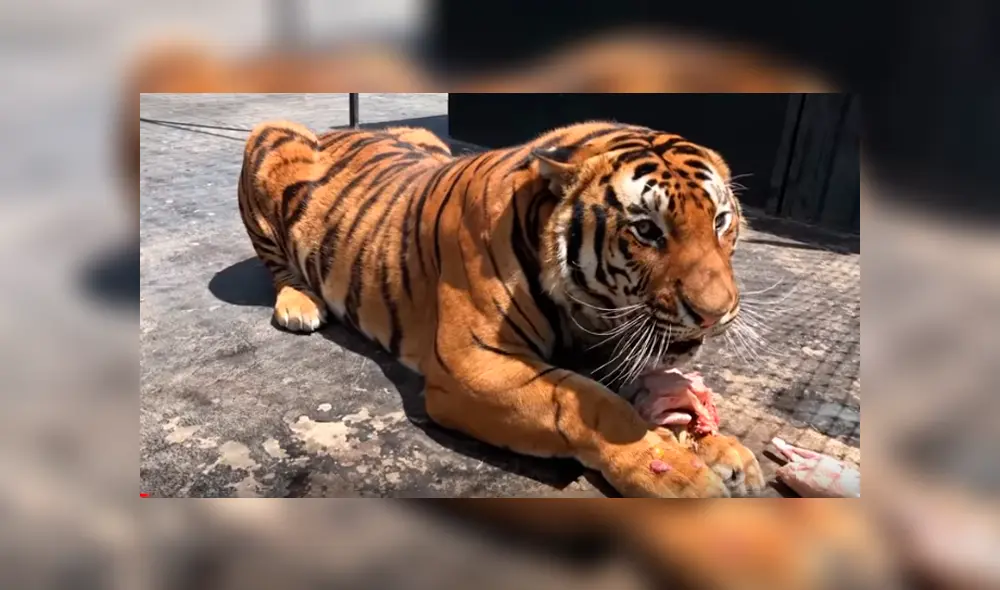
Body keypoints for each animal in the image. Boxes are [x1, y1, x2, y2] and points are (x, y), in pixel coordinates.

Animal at [237, 119, 766, 497]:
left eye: (721, 221)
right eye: (647, 230)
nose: (716, 313)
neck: (593, 312)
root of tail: (338, 128)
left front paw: (725, 451)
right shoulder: (471, 366)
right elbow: (591, 404)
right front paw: (679, 475)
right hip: (267, 138)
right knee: (277, 265)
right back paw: (299, 304)